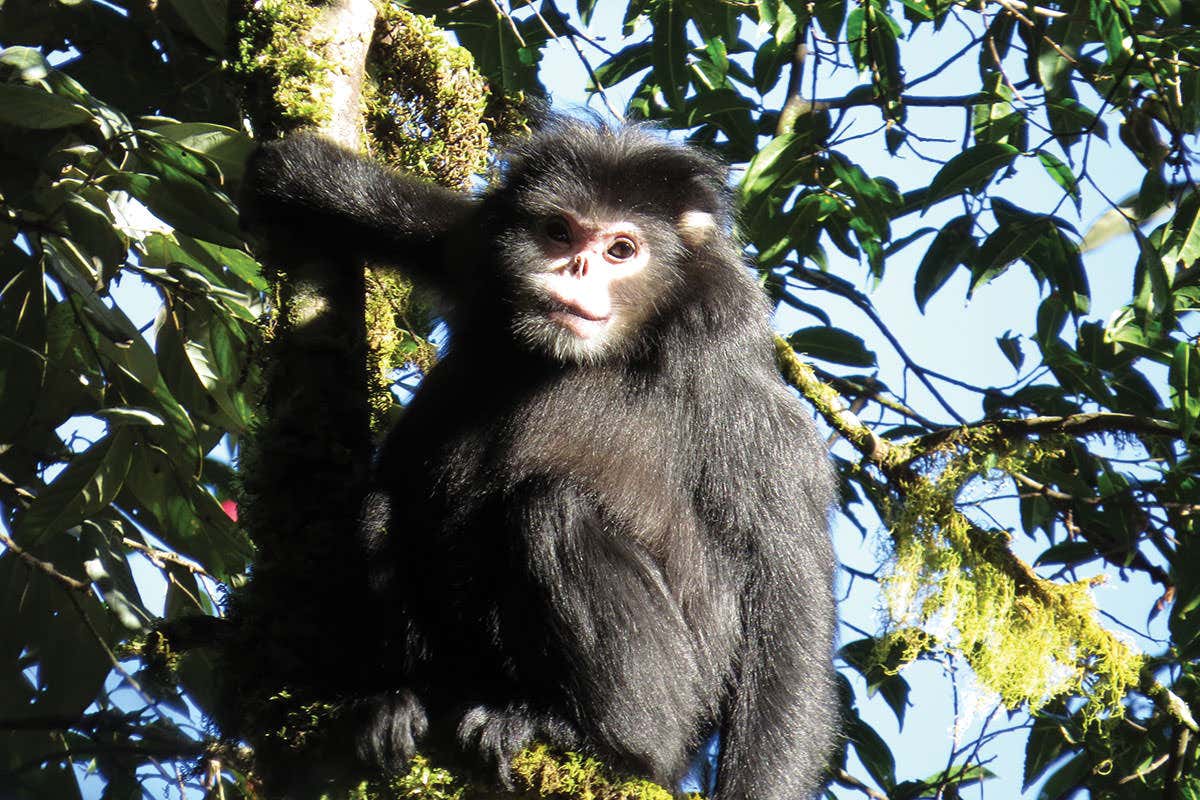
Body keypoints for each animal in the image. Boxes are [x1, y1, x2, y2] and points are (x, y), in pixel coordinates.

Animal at [241, 117, 838, 800]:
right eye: (559, 232)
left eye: (620, 250)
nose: (575, 269)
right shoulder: (478, 255)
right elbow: (432, 226)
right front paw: (300, 176)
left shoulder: (740, 387)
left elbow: (788, 616)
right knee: (385, 504)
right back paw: (399, 703)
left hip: (680, 701)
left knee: (550, 508)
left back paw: (590, 737)